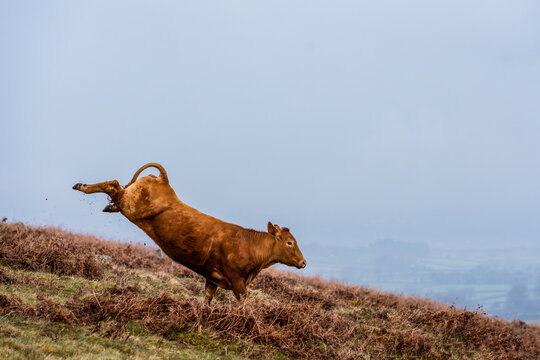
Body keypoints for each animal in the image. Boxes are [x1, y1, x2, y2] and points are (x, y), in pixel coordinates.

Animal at [73, 165, 306, 302]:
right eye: (289, 243)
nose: (303, 262)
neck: (249, 246)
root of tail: (164, 181)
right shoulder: (237, 281)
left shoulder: (212, 279)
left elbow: (207, 302)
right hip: (130, 205)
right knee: (113, 185)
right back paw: (82, 186)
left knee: (114, 188)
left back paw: (97, 197)